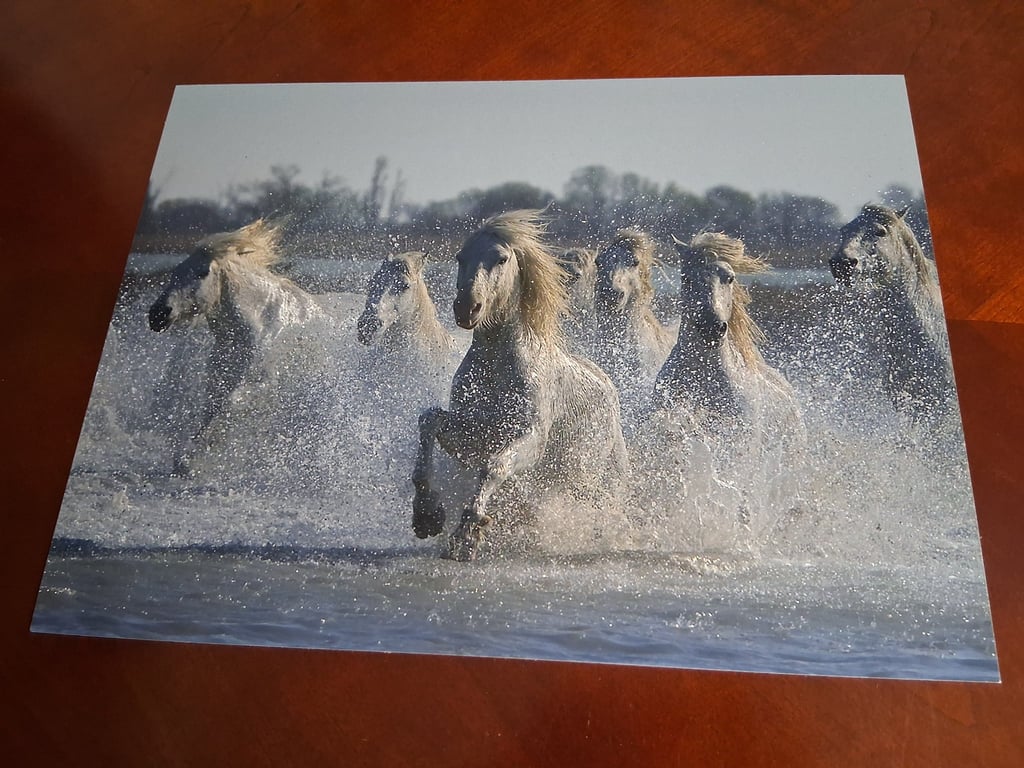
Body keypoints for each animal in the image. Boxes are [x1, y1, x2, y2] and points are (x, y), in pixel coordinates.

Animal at [147, 219, 332, 476]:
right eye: (175, 271)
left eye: (202, 272)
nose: (157, 315)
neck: (260, 327)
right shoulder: (219, 381)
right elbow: (212, 409)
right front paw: (186, 460)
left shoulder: (265, 383)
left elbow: (231, 404)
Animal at [411, 210, 632, 560]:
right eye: (461, 257)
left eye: (501, 258)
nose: (466, 307)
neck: (498, 367)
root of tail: (607, 387)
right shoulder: (473, 434)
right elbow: (429, 420)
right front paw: (427, 514)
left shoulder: (529, 438)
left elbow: (495, 467)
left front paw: (466, 536)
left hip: (585, 478)